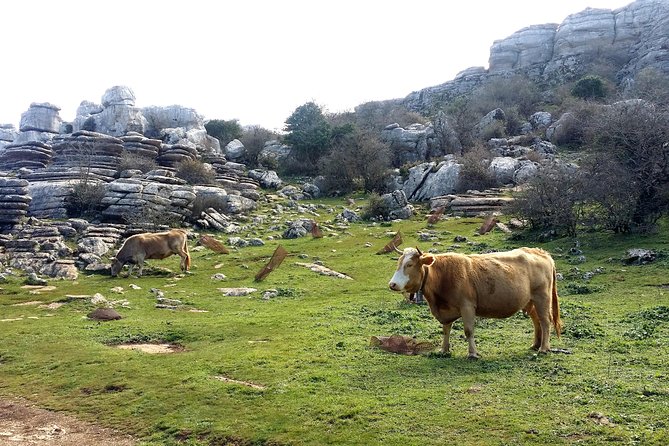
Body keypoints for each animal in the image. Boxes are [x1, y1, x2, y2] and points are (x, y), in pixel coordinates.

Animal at [388, 247, 560, 358]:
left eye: (409, 265)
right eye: (398, 263)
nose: (392, 284)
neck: (443, 275)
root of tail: (541, 252)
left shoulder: (467, 306)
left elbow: (469, 330)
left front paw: (472, 353)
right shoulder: (446, 310)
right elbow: (446, 330)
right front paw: (444, 350)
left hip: (542, 297)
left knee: (545, 321)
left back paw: (544, 348)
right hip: (530, 301)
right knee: (536, 321)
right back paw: (536, 344)